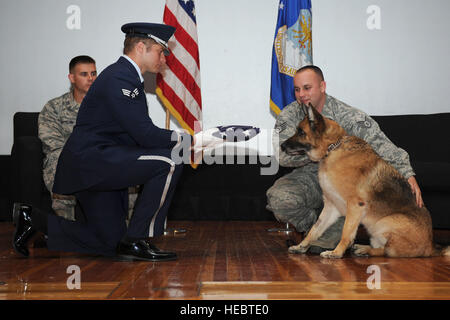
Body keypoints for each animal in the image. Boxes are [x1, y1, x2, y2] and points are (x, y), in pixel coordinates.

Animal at [284, 104, 448, 258]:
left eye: (301, 132)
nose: (281, 146)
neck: (332, 149)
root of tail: (431, 247)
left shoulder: (355, 206)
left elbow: (346, 233)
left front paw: (336, 253)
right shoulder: (331, 207)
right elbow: (315, 229)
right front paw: (301, 246)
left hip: (384, 223)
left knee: (386, 251)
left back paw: (364, 250)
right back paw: (362, 248)